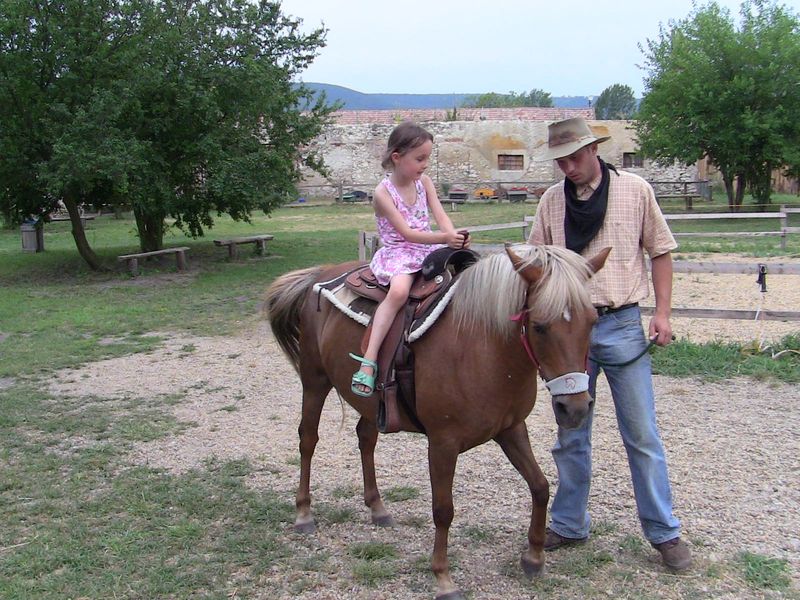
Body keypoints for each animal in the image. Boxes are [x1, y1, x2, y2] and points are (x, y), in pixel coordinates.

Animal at [264, 244, 609, 600]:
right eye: (539, 326)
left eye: (593, 321)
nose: (575, 408)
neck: (480, 344)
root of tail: (319, 274)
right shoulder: (443, 443)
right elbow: (443, 510)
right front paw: (443, 578)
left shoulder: (511, 429)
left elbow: (540, 487)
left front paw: (534, 557)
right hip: (314, 381)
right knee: (308, 439)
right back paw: (303, 513)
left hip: (369, 403)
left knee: (365, 439)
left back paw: (377, 508)